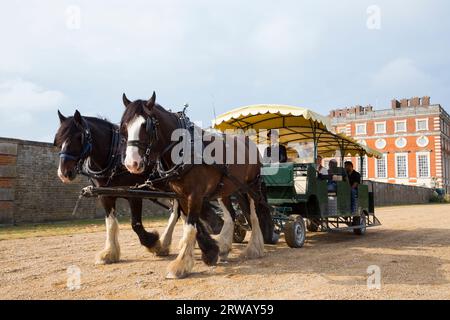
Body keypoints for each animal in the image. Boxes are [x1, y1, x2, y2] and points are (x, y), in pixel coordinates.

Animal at [53, 109, 222, 264]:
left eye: (79, 137)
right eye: (59, 140)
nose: (63, 173)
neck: (114, 157)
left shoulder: (134, 193)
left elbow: (135, 224)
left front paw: (152, 242)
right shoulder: (105, 195)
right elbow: (110, 224)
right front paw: (109, 253)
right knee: (179, 213)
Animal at [120, 91, 274, 278]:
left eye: (145, 126)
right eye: (124, 126)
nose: (131, 164)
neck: (184, 149)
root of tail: (249, 141)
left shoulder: (195, 194)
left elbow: (191, 226)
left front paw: (180, 266)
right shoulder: (181, 195)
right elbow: (193, 224)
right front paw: (210, 252)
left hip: (251, 186)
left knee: (253, 214)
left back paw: (254, 248)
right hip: (227, 189)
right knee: (231, 215)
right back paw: (224, 246)